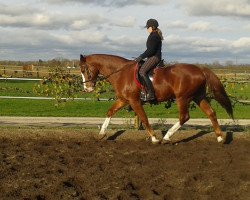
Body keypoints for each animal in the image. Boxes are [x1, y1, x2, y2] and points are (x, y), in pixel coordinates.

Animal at [79, 53, 233, 144]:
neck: (121, 72)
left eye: (84, 69)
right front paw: (101, 133)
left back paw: (166, 137)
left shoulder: (134, 101)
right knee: (210, 113)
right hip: (198, 97)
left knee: (184, 117)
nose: (87, 89)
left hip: (183, 98)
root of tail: (200, 69)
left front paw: (154, 138)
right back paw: (220, 137)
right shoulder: (123, 100)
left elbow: (144, 118)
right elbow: (110, 112)